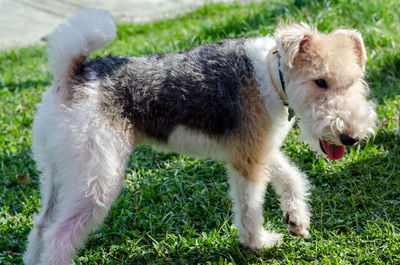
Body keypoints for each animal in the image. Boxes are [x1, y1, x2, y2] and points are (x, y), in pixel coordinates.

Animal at [24, 8, 376, 264]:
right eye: (320, 81)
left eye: (355, 81)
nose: (351, 137)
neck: (271, 74)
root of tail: (72, 74)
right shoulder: (248, 159)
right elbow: (249, 207)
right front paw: (259, 243)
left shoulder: (255, 148)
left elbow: (291, 176)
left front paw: (296, 219)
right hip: (97, 180)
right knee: (57, 236)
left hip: (61, 173)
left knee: (40, 227)